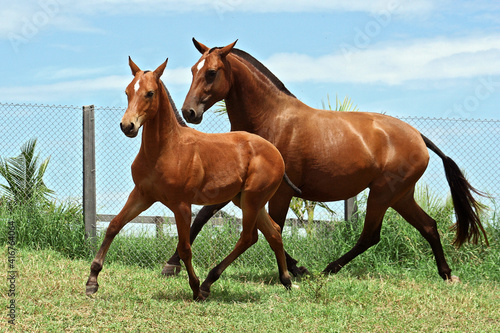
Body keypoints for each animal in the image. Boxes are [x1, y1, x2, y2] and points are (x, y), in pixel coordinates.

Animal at [86, 57, 292, 300]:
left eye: (150, 93)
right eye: (127, 91)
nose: (128, 126)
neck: (166, 149)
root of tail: (276, 153)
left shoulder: (181, 205)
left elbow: (184, 247)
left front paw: (194, 287)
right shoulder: (142, 195)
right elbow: (113, 226)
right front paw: (92, 281)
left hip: (252, 199)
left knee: (248, 237)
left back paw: (207, 283)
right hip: (246, 200)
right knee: (273, 233)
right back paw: (286, 280)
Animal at [163, 39, 488, 280]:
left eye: (212, 72)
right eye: (193, 69)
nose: (190, 112)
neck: (271, 120)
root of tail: (418, 136)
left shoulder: (280, 192)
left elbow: (273, 229)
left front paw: (294, 271)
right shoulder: (244, 187)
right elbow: (206, 216)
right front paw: (172, 263)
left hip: (383, 193)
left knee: (370, 236)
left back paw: (330, 269)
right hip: (400, 196)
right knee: (428, 226)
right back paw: (446, 273)